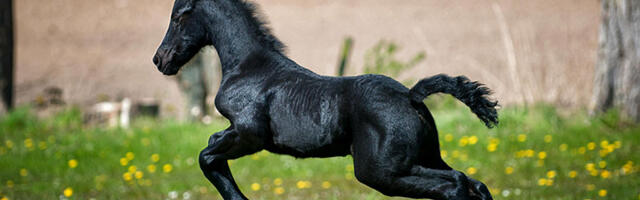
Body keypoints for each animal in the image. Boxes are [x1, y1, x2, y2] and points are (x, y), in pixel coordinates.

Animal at [152, 0, 498, 199]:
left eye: (178, 18)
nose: (159, 60)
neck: (249, 67)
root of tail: (411, 96)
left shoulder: (250, 135)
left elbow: (206, 157)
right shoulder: (235, 131)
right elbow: (211, 147)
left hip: (382, 171)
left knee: (456, 184)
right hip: (424, 158)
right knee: (475, 184)